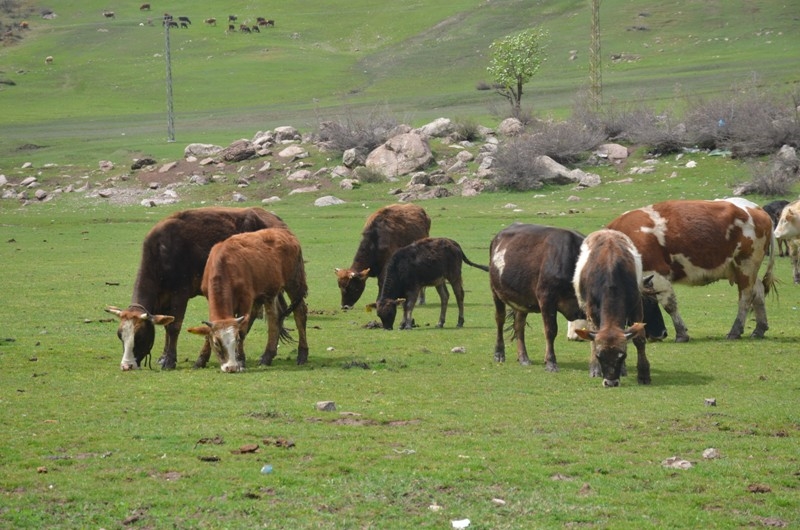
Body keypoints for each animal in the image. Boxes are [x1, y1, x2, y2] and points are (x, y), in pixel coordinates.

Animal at [105, 204, 288, 370]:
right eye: (120, 335)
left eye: (140, 336)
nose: (126, 365)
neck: (162, 253)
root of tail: (277, 221)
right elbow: (166, 326)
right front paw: (163, 356)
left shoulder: (180, 294)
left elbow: (174, 327)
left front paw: (169, 361)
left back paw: (266, 355)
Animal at [188, 227, 310, 372]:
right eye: (217, 343)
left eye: (235, 340)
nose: (230, 367)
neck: (224, 265)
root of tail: (285, 232)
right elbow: (208, 333)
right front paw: (201, 360)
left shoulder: (246, 300)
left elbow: (242, 330)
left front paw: (240, 360)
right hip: (268, 294)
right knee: (274, 318)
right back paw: (267, 356)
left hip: (294, 283)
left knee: (300, 313)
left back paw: (302, 354)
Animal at [568, 229, 648, 386]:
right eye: (599, 356)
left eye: (622, 356)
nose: (611, 383)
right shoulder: (591, 310)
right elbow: (593, 338)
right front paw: (595, 369)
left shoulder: (637, 306)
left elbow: (639, 339)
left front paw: (643, 374)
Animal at [608, 196, 776, 340]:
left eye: (651, 301)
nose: (661, 333)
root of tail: (758, 209)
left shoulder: (657, 273)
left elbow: (670, 305)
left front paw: (681, 333)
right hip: (743, 270)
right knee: (758, 292)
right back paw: (759, 329)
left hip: (746, 265)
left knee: (746, 297)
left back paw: (735, 331)